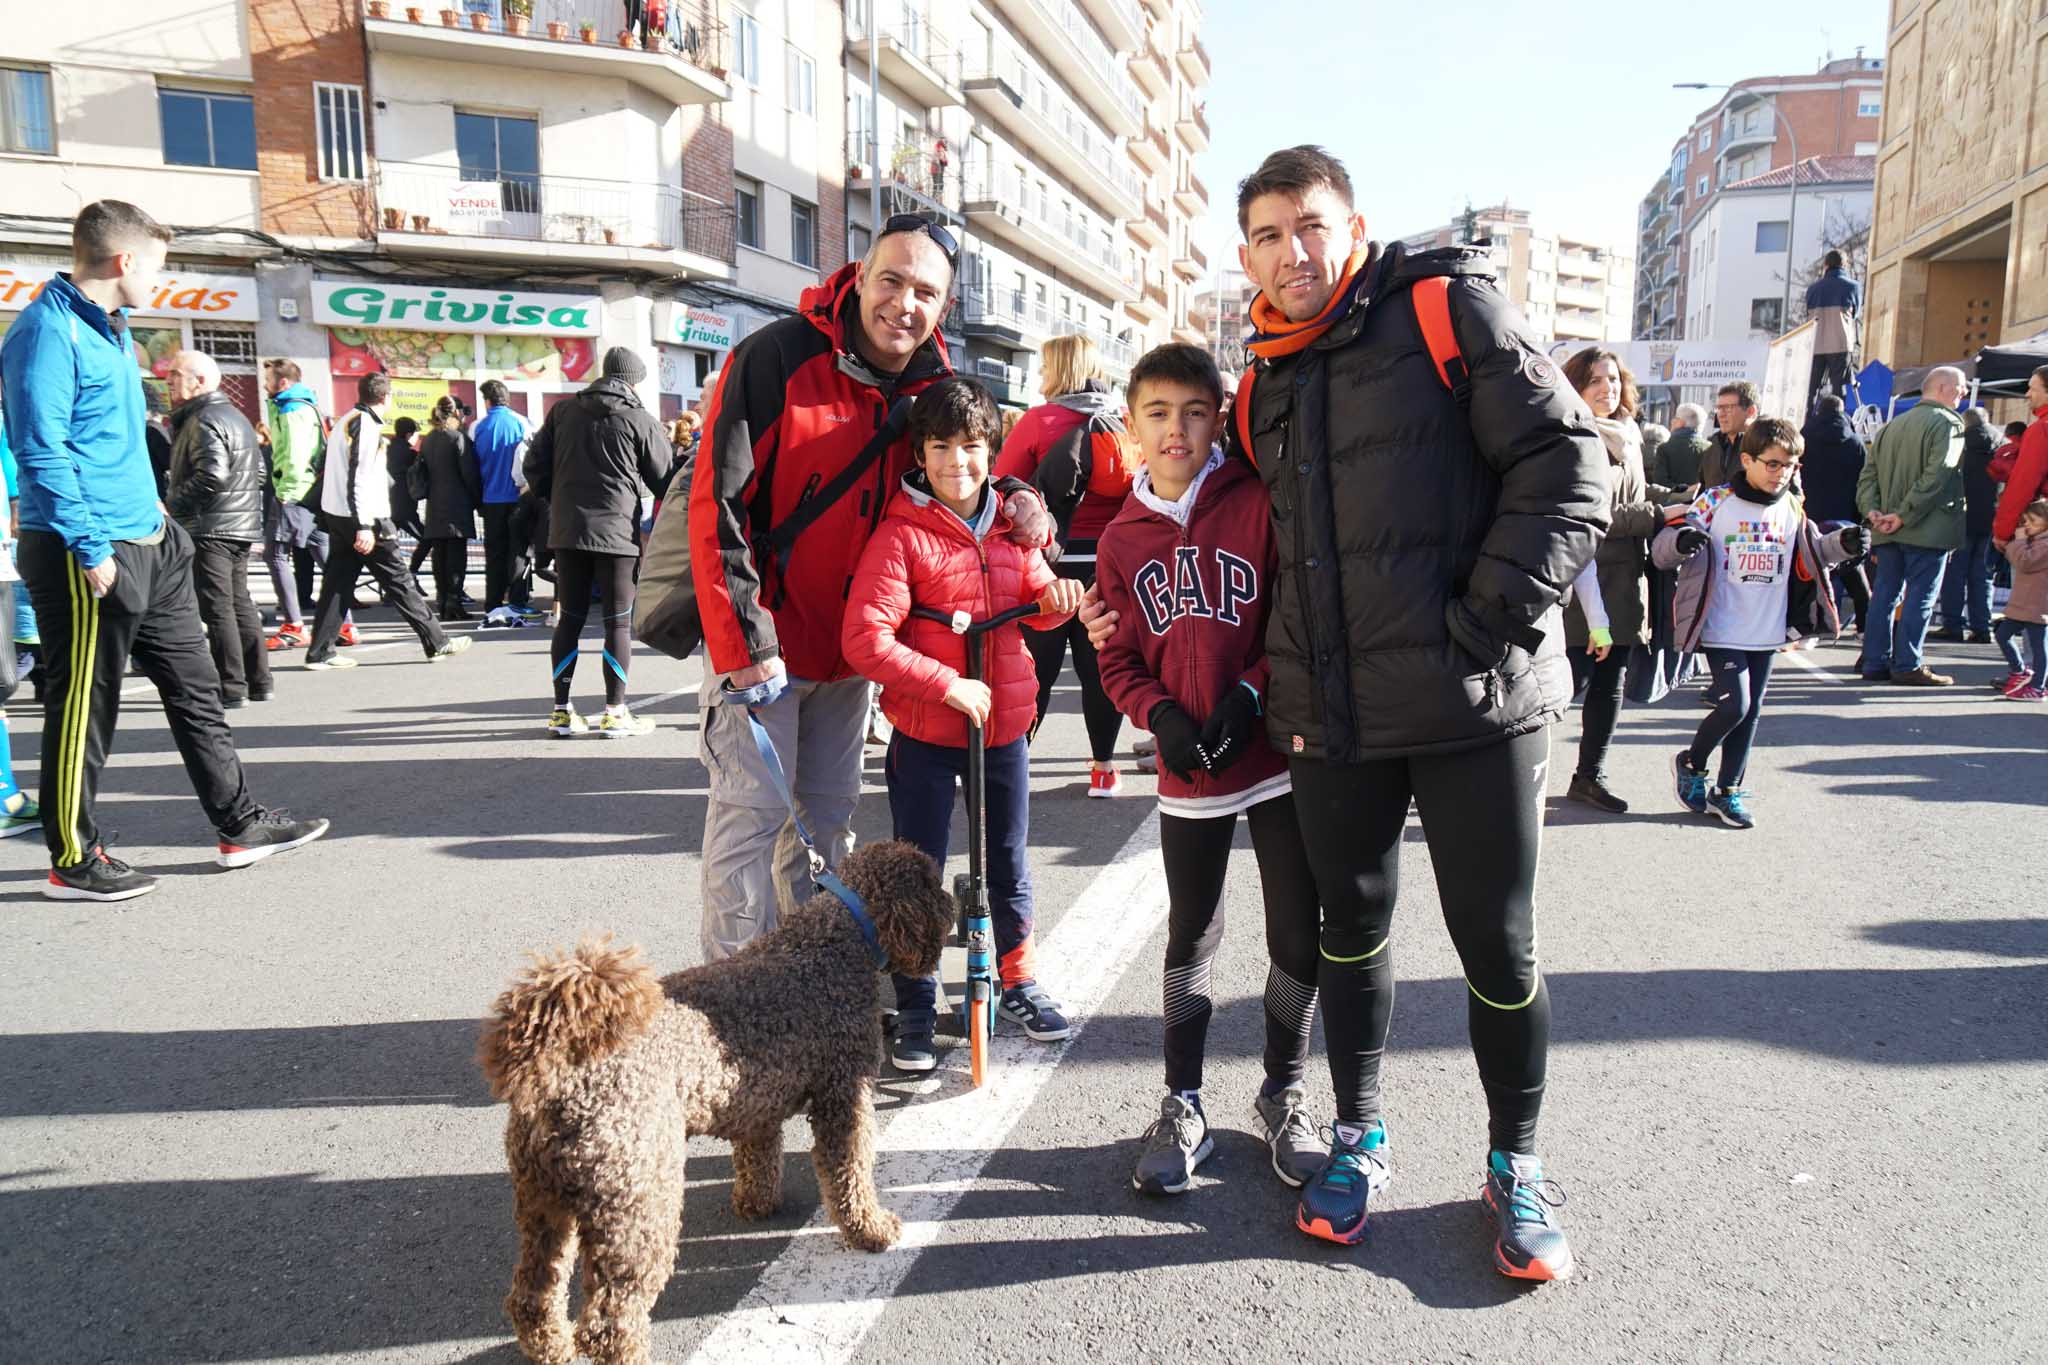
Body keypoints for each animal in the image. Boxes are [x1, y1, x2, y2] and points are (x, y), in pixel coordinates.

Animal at [481, 839, 958, 1358]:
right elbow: (850, 1174)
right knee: (609, 1323)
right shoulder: (843, 1095)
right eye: (931, 882)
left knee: (531, 1298)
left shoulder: (757, 1103)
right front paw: (870, 1229)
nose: (955, 903)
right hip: (638, 1206)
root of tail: (561, 1074)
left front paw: (756, 1204)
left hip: (543, 1201)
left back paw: (555, 1349)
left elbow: (758, 1158)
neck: (834, 940)